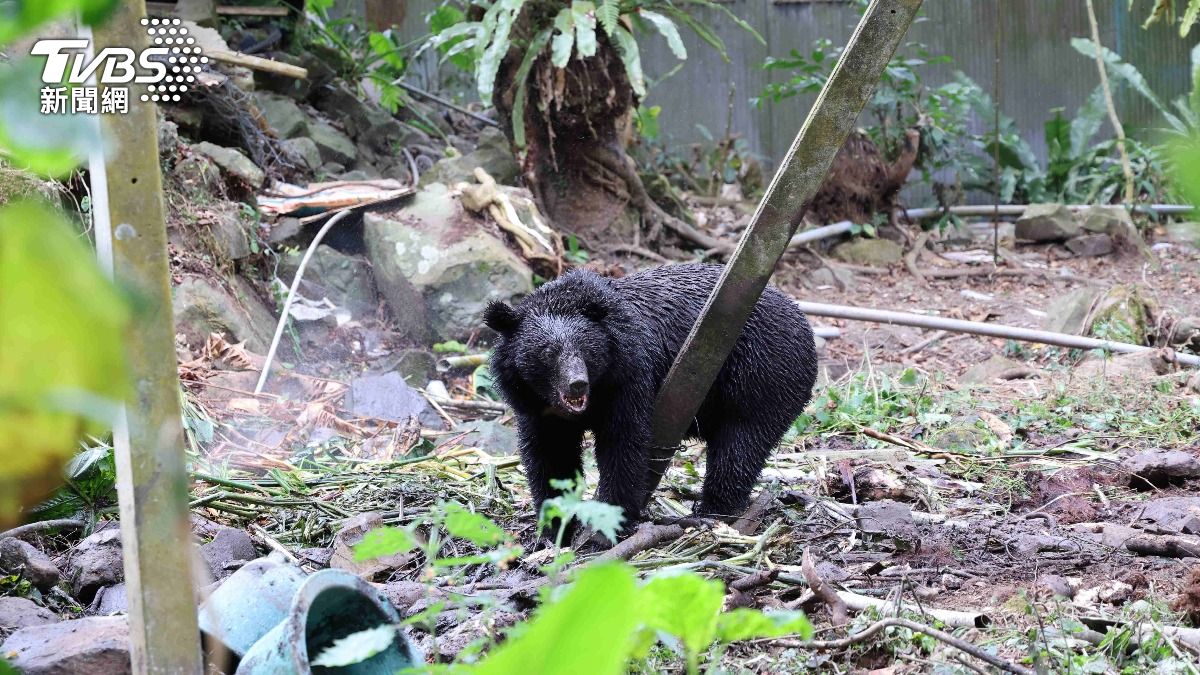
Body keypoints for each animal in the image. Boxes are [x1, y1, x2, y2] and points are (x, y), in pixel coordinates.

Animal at [483, 263, 818, 539]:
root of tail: (804, 323)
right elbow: (550, 455)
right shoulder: (534, 405)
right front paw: (556, 526)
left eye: (586, 350)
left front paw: (609, 523)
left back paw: (713, 510)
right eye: (548, 352)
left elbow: (624, 444)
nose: (577, 383)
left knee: (740, 445)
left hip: (760, 377)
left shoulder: (630, 379)